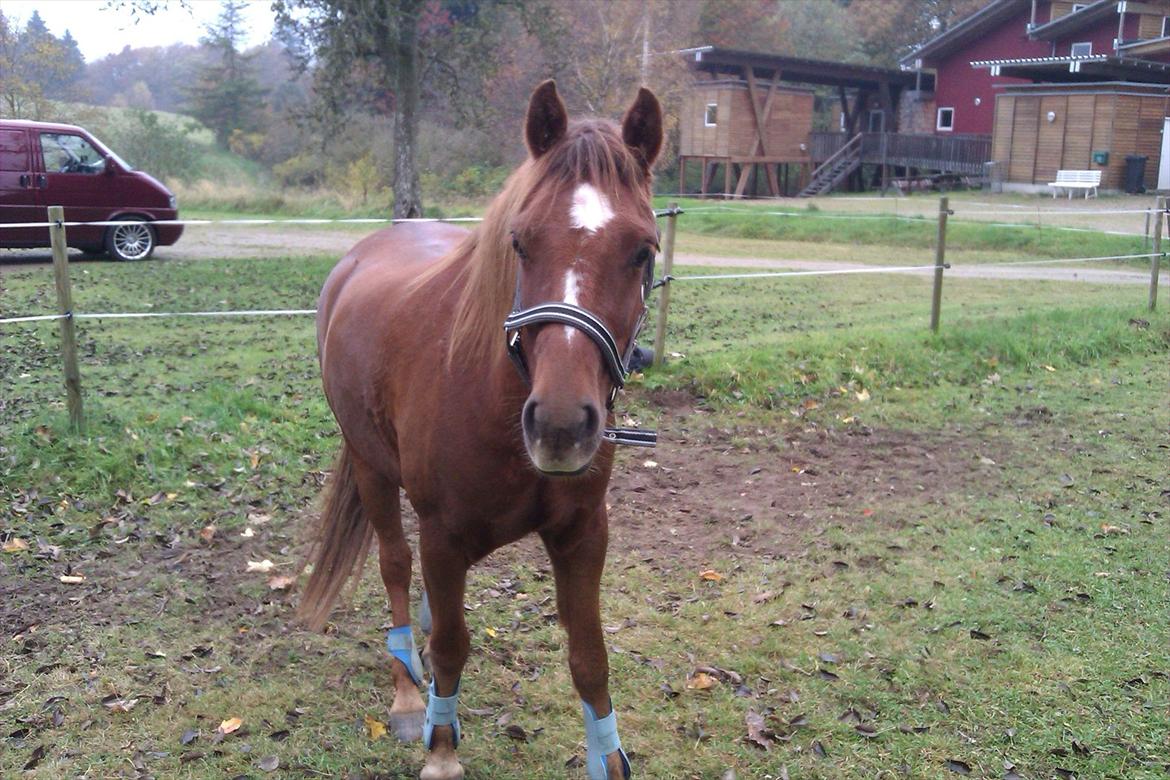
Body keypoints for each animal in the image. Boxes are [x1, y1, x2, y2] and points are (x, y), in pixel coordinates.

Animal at [298, 80, 664, 780]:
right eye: (520, 242)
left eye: (643, 249)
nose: (559, 425)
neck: (496, 398)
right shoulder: (442, 537)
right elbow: (450, 645)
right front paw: (441, 748)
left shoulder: (584, 535)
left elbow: (590, 659)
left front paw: (609, 758)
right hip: (371, 468)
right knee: (394, 568)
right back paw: (407, 694)